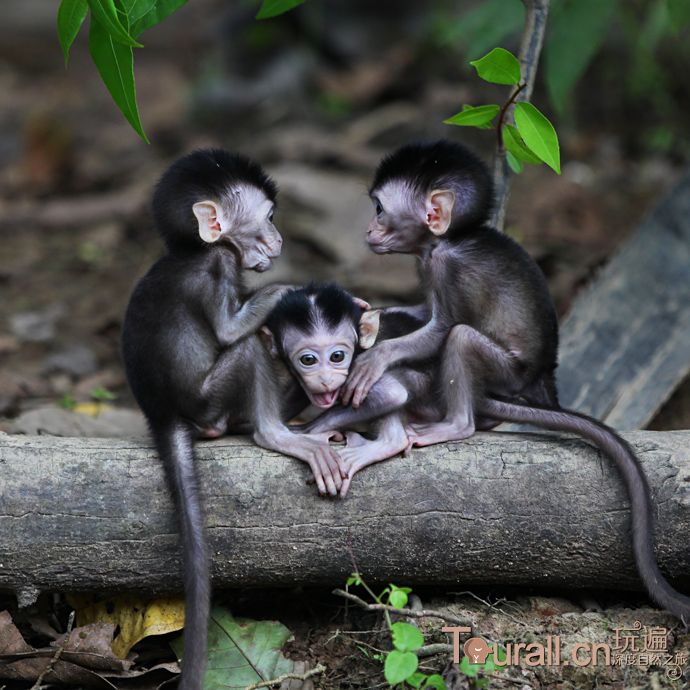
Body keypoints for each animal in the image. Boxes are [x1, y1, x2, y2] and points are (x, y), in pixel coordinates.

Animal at [121, 150, 346, 688]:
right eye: (268, 217)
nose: (280, 240)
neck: (192, 248)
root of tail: (162, 413)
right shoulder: (217, 263)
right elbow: (230, 330)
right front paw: (289, 289)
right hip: (208, 402)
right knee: (247, 348)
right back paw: (276, 433)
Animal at [294, 141, 684, 624]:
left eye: (381, 209)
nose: (368, 228)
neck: (449, 239)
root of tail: (542, 376)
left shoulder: (444, 265)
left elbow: (443, 328)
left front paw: (373, 361)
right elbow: (423, 314)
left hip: (507, 371)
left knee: (461, 338)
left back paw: (454, 424)